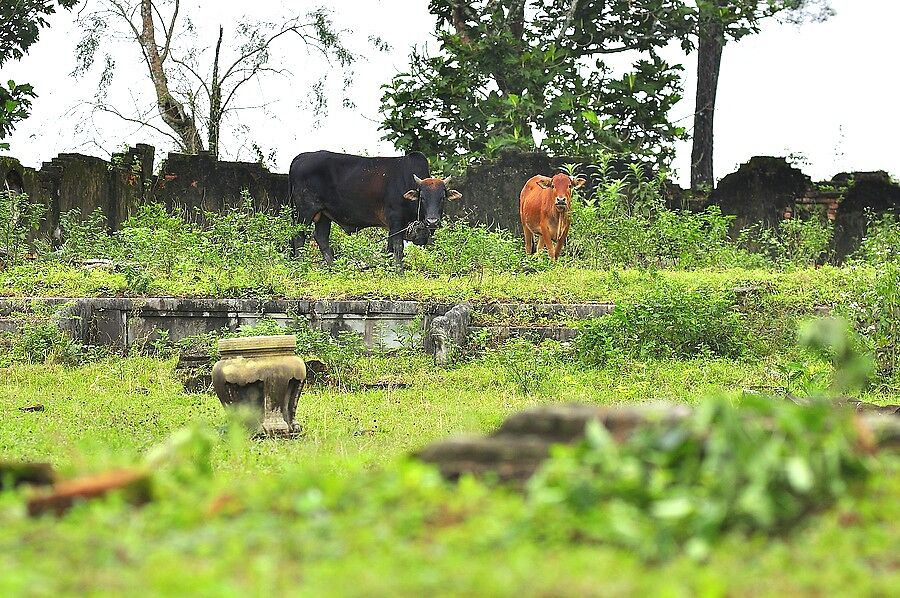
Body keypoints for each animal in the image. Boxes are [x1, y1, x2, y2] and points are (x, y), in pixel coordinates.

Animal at [286, 150, 460, 272]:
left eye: (442, 198)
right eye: (422, 197)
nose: (432, 221)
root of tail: (298, 159)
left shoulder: (394, 226)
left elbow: (390, 249)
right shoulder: (396, 219)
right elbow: (398, 247)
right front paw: (400, 272)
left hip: (323, 214)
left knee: (321, 237)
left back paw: (334, 268)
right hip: (305, 211)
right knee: (299, 236)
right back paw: (301, 265)